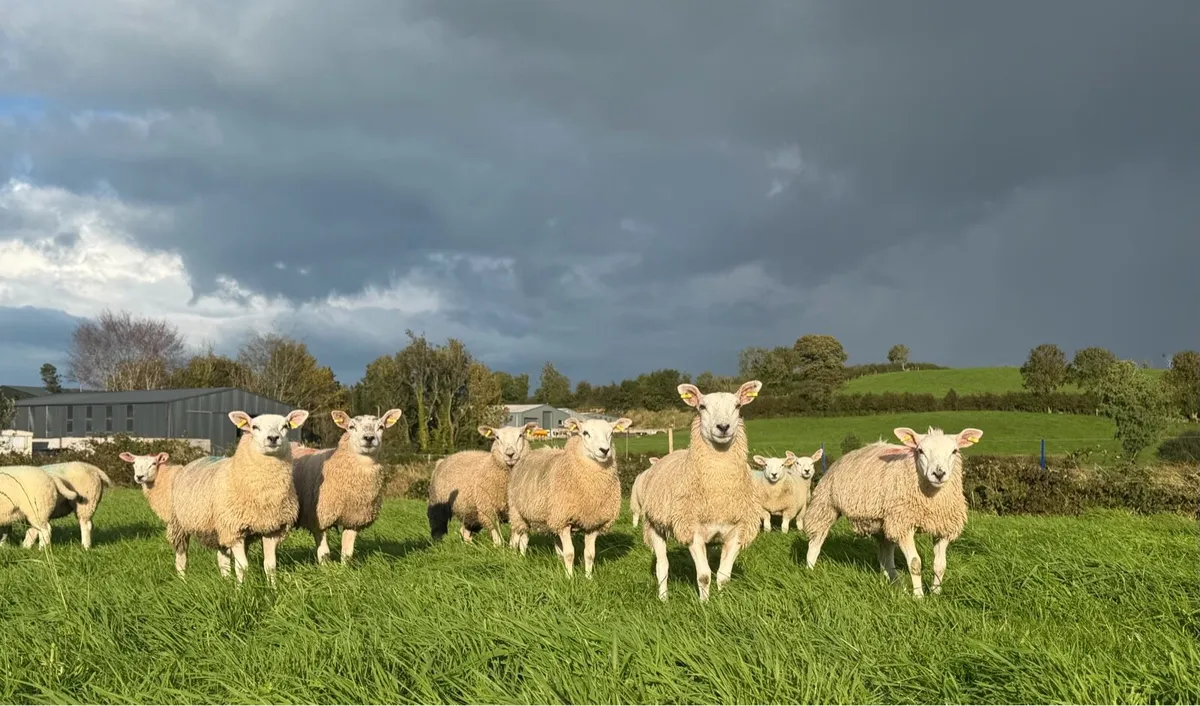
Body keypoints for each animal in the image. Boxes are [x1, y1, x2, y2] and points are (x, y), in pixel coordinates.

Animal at [166, 409, 309, 585]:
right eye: (254, 427)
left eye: (285, 426)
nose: (273, 438)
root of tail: (193, 462)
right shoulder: (235, 529)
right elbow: (242, 567)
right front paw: (241, 589)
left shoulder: (272, 529)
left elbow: (270, 565)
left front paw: (273, 588)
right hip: (179, 524)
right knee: (181, 558)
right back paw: (183, 580)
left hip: (220, 529)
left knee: (223, 559)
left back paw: (226, 580)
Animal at [292, 408, 403, 564]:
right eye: (351, 427)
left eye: (381, 427)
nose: (369, 438)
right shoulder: (319, 518)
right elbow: (324, 553)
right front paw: (326, 568)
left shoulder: (354, 519)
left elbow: (347, 553)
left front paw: (345, 568)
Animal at [507, 416, 633, 578]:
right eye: (585, 433)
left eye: (611, 433)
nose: (604, 450)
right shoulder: (564, 520)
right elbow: (569, 553)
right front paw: (570, 578)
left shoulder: (592, 523)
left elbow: (589, 554)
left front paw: (588, 578)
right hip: (517, 512)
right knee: (517, 538)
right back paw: (516, 557)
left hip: (543, 517)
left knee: (526, 539)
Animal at [635, 380, 764, 601]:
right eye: (702, 407)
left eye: (738, 406)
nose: (723, 427)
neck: (718, 489)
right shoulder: (693, 530)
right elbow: (704, 576)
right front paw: (704, 604)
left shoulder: (737, 532)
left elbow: (723, 576)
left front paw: (721, 602)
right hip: (653, 526)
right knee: (662, 566)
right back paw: (663, 598)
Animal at [802, 426, 983, 598]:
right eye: (920, 450)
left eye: (955, 451)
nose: (938, 474)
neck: (931, 498)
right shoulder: (903, 525)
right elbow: (915, 564)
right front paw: (919, 596)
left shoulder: (944, 527)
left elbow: (940, 565)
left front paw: (936, 593)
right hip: (825, 505)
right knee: (816, 542)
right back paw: (810, 571)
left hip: (882, 522)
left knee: (886, 558)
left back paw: (897, 585)